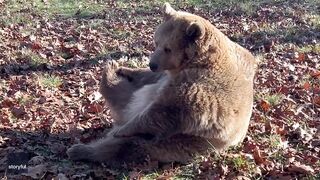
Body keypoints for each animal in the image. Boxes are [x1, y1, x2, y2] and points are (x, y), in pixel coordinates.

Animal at [66, 2, 256, 164]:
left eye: (168, 48)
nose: (153, 64)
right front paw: (124, 68)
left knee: (127, 146)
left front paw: (123, 130)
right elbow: (146, 78)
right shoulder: (167, 75)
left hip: (177, 143)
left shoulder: (202, 87)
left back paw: (82, 149)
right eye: (156, 41)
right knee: (125, 95)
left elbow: (165, 110)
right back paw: (110, 71)